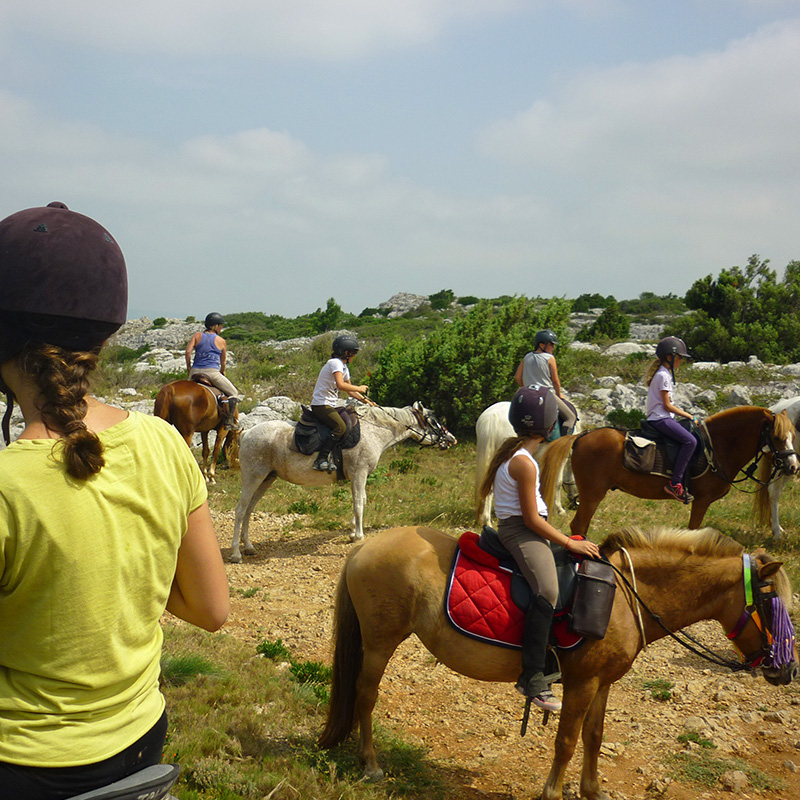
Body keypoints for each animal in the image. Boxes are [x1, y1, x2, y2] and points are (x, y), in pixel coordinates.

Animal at [231, 400, 456, 564]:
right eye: (433, 421)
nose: (451, 439)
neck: (373, 431)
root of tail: (247, 433)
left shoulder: (359, 476)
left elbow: (361, 500)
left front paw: (352, 530)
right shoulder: (359, 473)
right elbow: (358, 504)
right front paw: (358, 536)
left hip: (266, 478)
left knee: (249, 509)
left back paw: (248, 546)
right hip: (253, 477)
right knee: (241, 510)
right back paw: (236, 554)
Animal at [318, 524, 792, 800]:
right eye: (773, 602)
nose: (786, 670)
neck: (626, 598)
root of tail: (364, 546)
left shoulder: (602, 682)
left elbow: (594, 738)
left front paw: (592, 791)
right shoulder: (581, 682)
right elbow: (566, 741)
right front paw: (552, 792)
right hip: (380, 642)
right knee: (365, 696)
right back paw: (371, 764)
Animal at [540, 406, 796, 536]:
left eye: (793, 435)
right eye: (776, 437)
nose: (793, 466)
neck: (717, 446)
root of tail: (582, 436)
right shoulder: (701, 501)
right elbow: (693, 531)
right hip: (593, 494)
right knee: (578, 527)